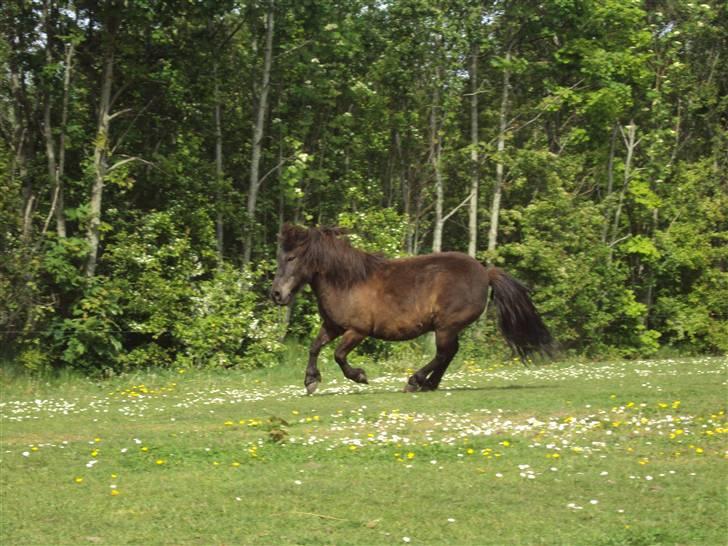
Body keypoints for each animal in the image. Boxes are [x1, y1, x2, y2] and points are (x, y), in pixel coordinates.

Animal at [268, 223, 552, 394]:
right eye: (280, 257)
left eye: (291, 257)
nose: (276, 294)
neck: (347, 281)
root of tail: (485, 272)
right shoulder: (333, 326)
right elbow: (314, 347)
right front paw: (311, 381)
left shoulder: (357, 331)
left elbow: (338, 355)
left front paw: (360, 376)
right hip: (447, 328)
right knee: (449, 354)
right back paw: (428, 384)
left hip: (445, 326)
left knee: (443, 353)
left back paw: (415, 381)